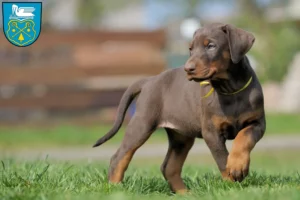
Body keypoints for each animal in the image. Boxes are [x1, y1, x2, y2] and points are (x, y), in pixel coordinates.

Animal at [93, 23, 264, 194]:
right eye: (191, 49)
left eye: (211, 46)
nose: (188, 68)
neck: (230, 90)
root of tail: (149, 80)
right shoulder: (211, 132)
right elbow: (222, 159)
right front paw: (231, 184)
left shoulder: (257, 123)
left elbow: (244, 138)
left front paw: (237, 165)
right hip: (142, 124)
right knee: (119, 157)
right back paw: (116, 188)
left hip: (181, 137)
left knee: (169, 167)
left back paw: (185, 194)